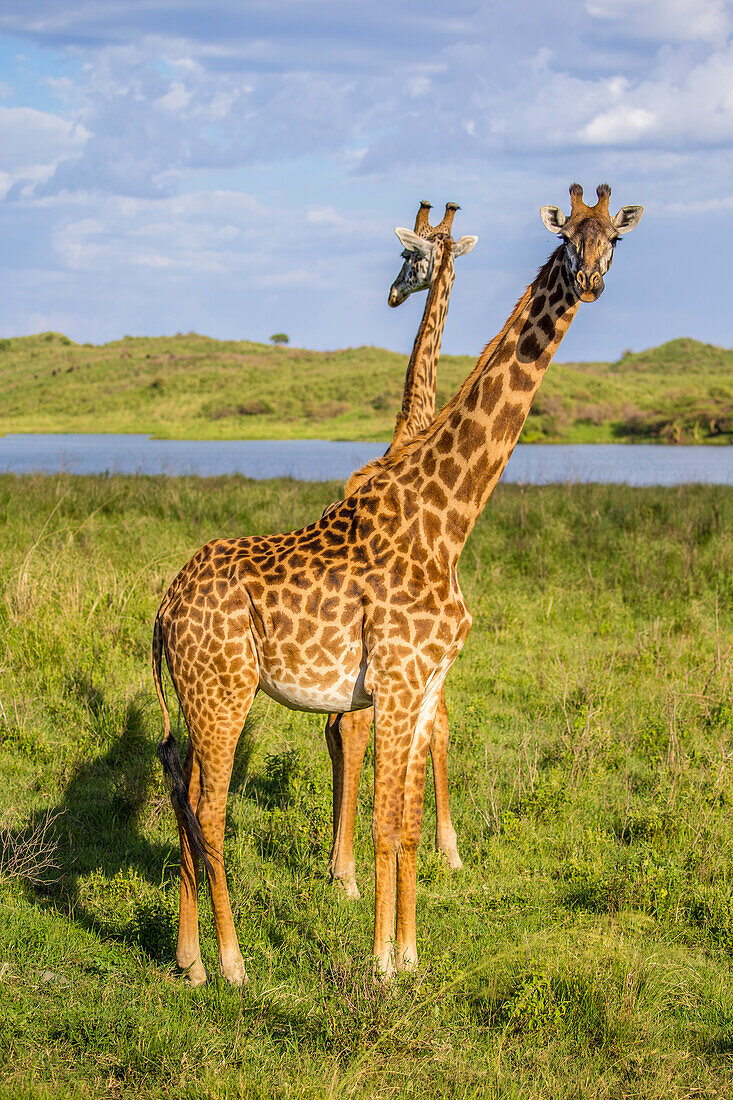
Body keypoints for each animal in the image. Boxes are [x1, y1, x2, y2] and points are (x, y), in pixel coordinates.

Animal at [152, 184, 638, 985]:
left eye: (615, 240)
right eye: (567, 235)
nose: (591, 280)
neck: (447, 519)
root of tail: (162, 606)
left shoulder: (423, 683)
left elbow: (406, 826)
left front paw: (410, 954)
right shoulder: (399, 682)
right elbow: (384, 825)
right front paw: (380, 962)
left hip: (202, 697)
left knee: (184, 796)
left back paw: (189, 958)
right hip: (223, 692)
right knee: (213, 813)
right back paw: (231, 964)